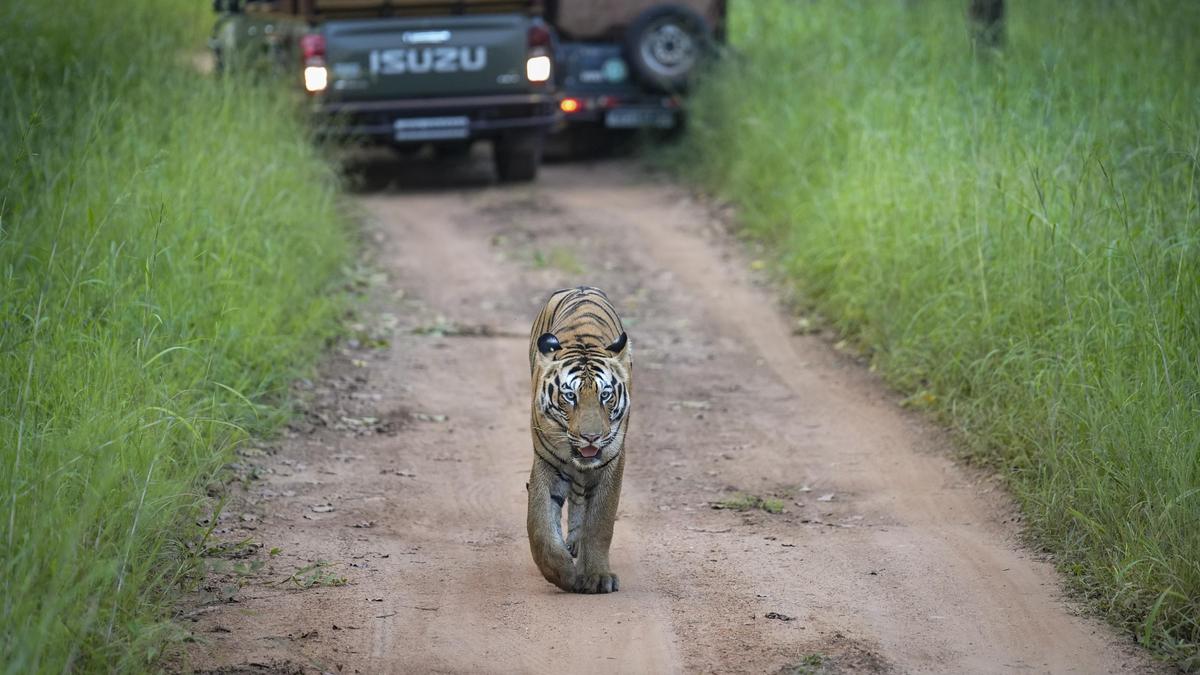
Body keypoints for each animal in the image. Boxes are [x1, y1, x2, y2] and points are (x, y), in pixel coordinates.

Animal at [526, 286, 631, 594]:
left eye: (605, 395)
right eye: (569, 396)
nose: (591, 437)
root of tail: (582, 287)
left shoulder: (611, 461)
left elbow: (599, 523)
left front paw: (596, 576)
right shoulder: (546, 462)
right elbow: (540, 526)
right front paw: (563, 574)